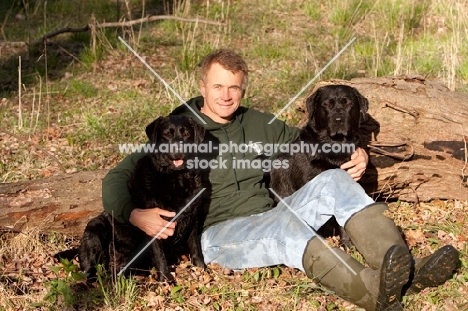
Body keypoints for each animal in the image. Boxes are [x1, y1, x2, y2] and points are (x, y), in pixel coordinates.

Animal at [77, 116, 206, 284]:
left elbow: (196, 248)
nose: (178, 152)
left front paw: (202, 270)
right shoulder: (154, 226)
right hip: (95, 228)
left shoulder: (193, 219)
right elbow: (160, 256)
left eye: (187, 134)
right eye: (167, 134)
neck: (177, 178)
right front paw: (166, 280)